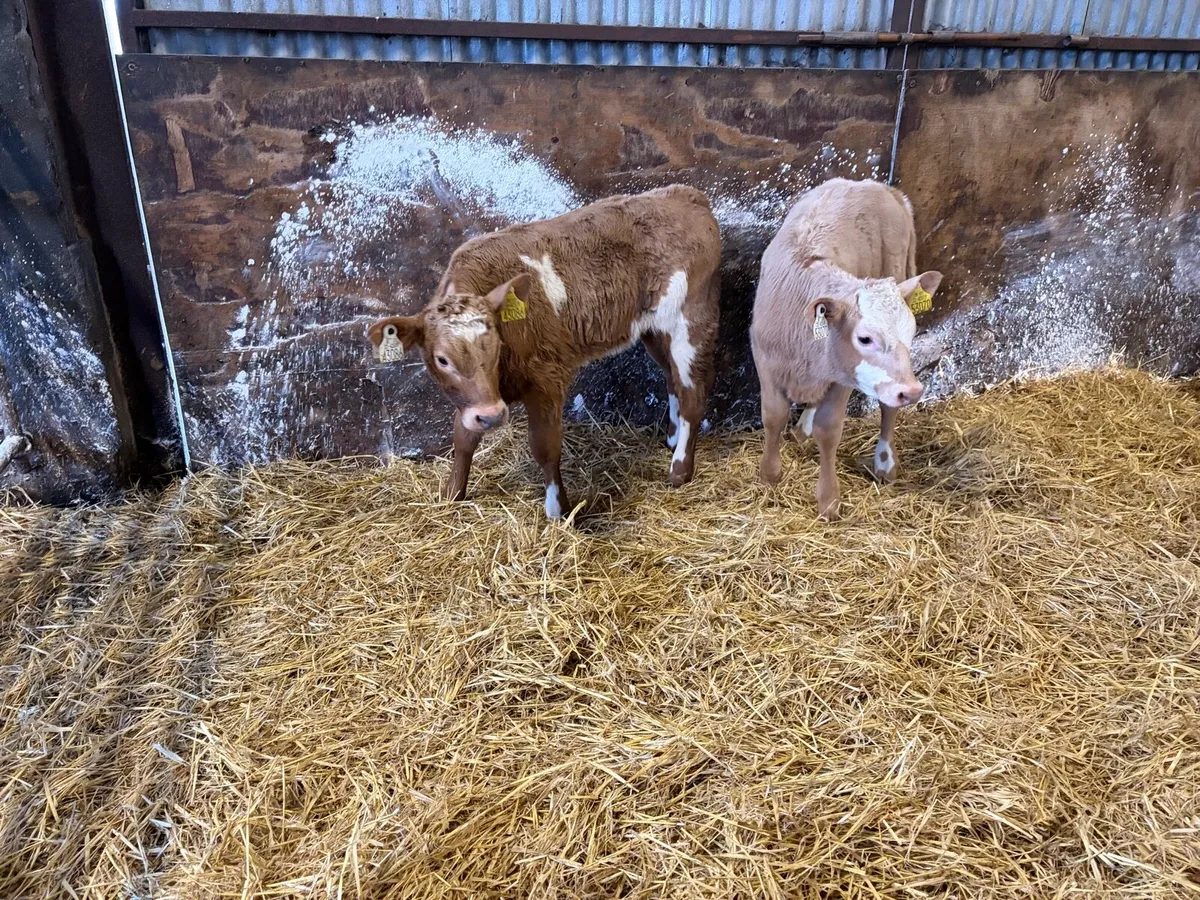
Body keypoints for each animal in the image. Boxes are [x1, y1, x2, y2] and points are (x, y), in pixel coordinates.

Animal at [367, 185, 721, 520]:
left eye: (496, 346)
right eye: (442, 359)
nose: (492, 416)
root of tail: (685, 195)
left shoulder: (547, 377)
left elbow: (544, 446)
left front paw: (558, 509)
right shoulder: (476, 399)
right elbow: (463, 437)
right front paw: (452, 494)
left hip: (691, 319)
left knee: (693, 391)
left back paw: (679, 471)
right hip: (655, 329)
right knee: (672, 378)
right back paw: (672, 440)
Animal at [750, 178, 942, 521]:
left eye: (911, 332)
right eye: (864, 339)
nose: (912, 391)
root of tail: (880, 187)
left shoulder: (843, 378)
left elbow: (829, 430)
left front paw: (828, 501)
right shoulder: (766, 362)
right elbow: (773, 416)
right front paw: (769, 476)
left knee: (888, 407)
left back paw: (884, 462)